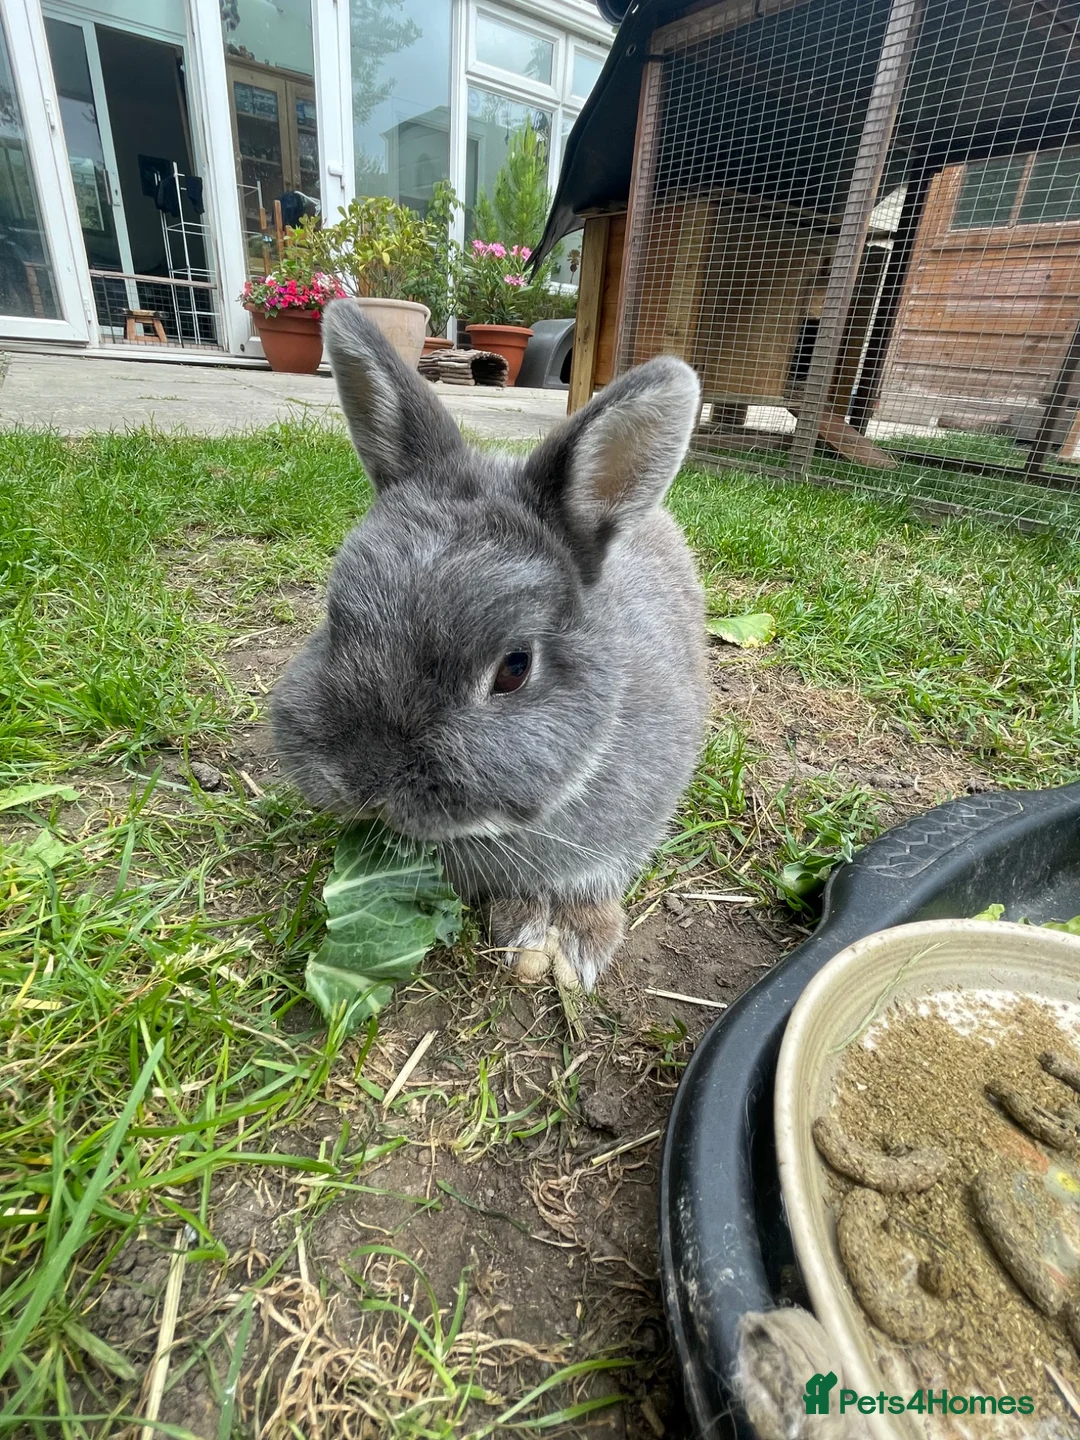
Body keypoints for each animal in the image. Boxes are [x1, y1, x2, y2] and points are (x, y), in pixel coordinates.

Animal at [270, 298, 709, 991]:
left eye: (514, 668)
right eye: (334, 620)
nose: (364, 783)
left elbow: (597, 879)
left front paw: (576, 945)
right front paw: (523, 925)